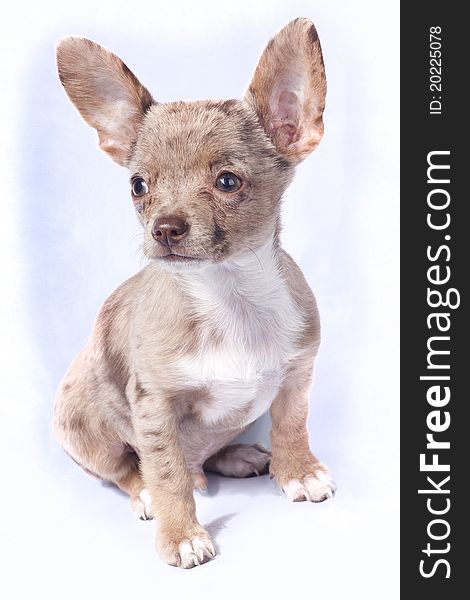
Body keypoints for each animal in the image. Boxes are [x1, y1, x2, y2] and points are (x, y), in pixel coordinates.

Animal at [53, 17, 336, 568]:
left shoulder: (297, 375)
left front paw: (298, 471)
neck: (228, 296)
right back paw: (147, 491)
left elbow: (292, 424)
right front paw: (180, 532)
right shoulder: (155, 407)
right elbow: (167, 474)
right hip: (83, 425)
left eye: (227, 181)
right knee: (130, 470)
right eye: (138, 186)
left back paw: (236, 455)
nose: (164, 228)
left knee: (207, 454)